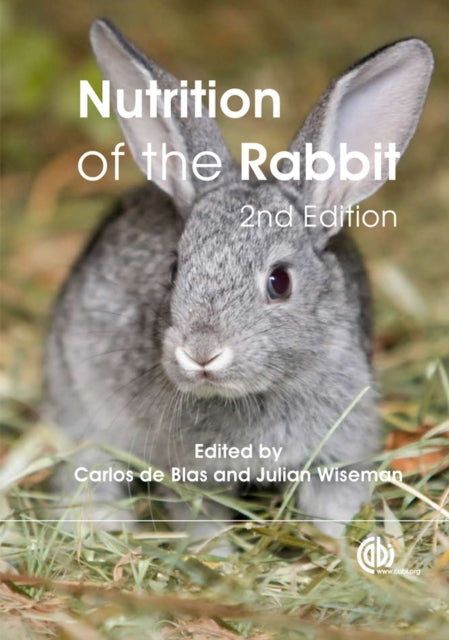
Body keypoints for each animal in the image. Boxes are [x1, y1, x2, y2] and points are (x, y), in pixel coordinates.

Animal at [44, 18, 433, 542]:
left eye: (280, 281)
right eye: (174, 268)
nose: (201, 352)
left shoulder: (339, 453)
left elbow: (333, 506)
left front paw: (337, 546)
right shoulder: (190, 474)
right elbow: (200, 519)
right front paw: (214, 552)